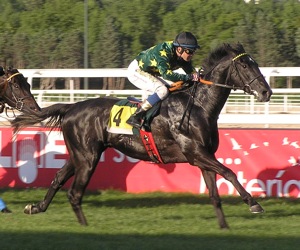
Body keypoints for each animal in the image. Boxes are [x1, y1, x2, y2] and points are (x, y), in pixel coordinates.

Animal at [11, 43, 272, 229]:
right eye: (246, 66)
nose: (266, 92)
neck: (199, 105)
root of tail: (72, 107)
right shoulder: (196, 153)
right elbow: (229, 172)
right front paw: (254, 203)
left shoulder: (203, 157)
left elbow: (215, 195)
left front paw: (224, 226)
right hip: (87, 157)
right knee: (75, 193)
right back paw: (86, 228)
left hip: (80, 154)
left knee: (58, 179)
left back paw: (36, 207)